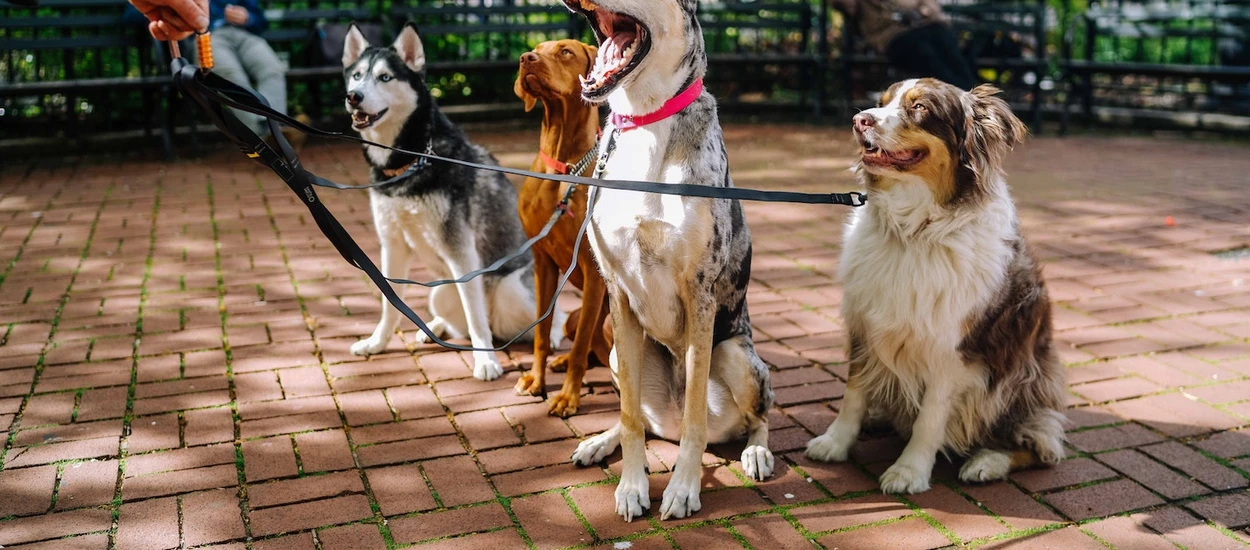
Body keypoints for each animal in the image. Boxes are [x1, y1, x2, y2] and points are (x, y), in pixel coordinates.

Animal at [342, 22, 567, 382]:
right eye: (356, 76)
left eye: (385, 77)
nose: (354, 97)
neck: (412, 161)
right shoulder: (392, 245)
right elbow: (390, 304)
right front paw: (377, 342)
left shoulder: (461, 250)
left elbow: (475, 317)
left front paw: (486, 362)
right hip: (440, 291)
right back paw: (433, 328)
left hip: (511, 290)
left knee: (548, 315)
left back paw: (551, 334)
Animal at [515, 38, 612, 417]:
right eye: (536, 48)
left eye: (565, 51)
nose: (525, 59)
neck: (563, 168)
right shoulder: (542, 262)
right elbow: (542, 334)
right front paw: (536, 379)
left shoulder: (594, 273)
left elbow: (580, 348)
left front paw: (568, 397)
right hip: (571, 316)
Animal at [562, 0, 775, 520]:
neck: (644, 120)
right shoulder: (617, 292)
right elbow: (629, 418)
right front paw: (632, 487)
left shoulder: (699, 293)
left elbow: (697, 412)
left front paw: (682, 488)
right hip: (618, 352)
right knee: (641, 416)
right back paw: (599, 443)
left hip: (737, 355)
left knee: (756, 417)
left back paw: (756, 453)